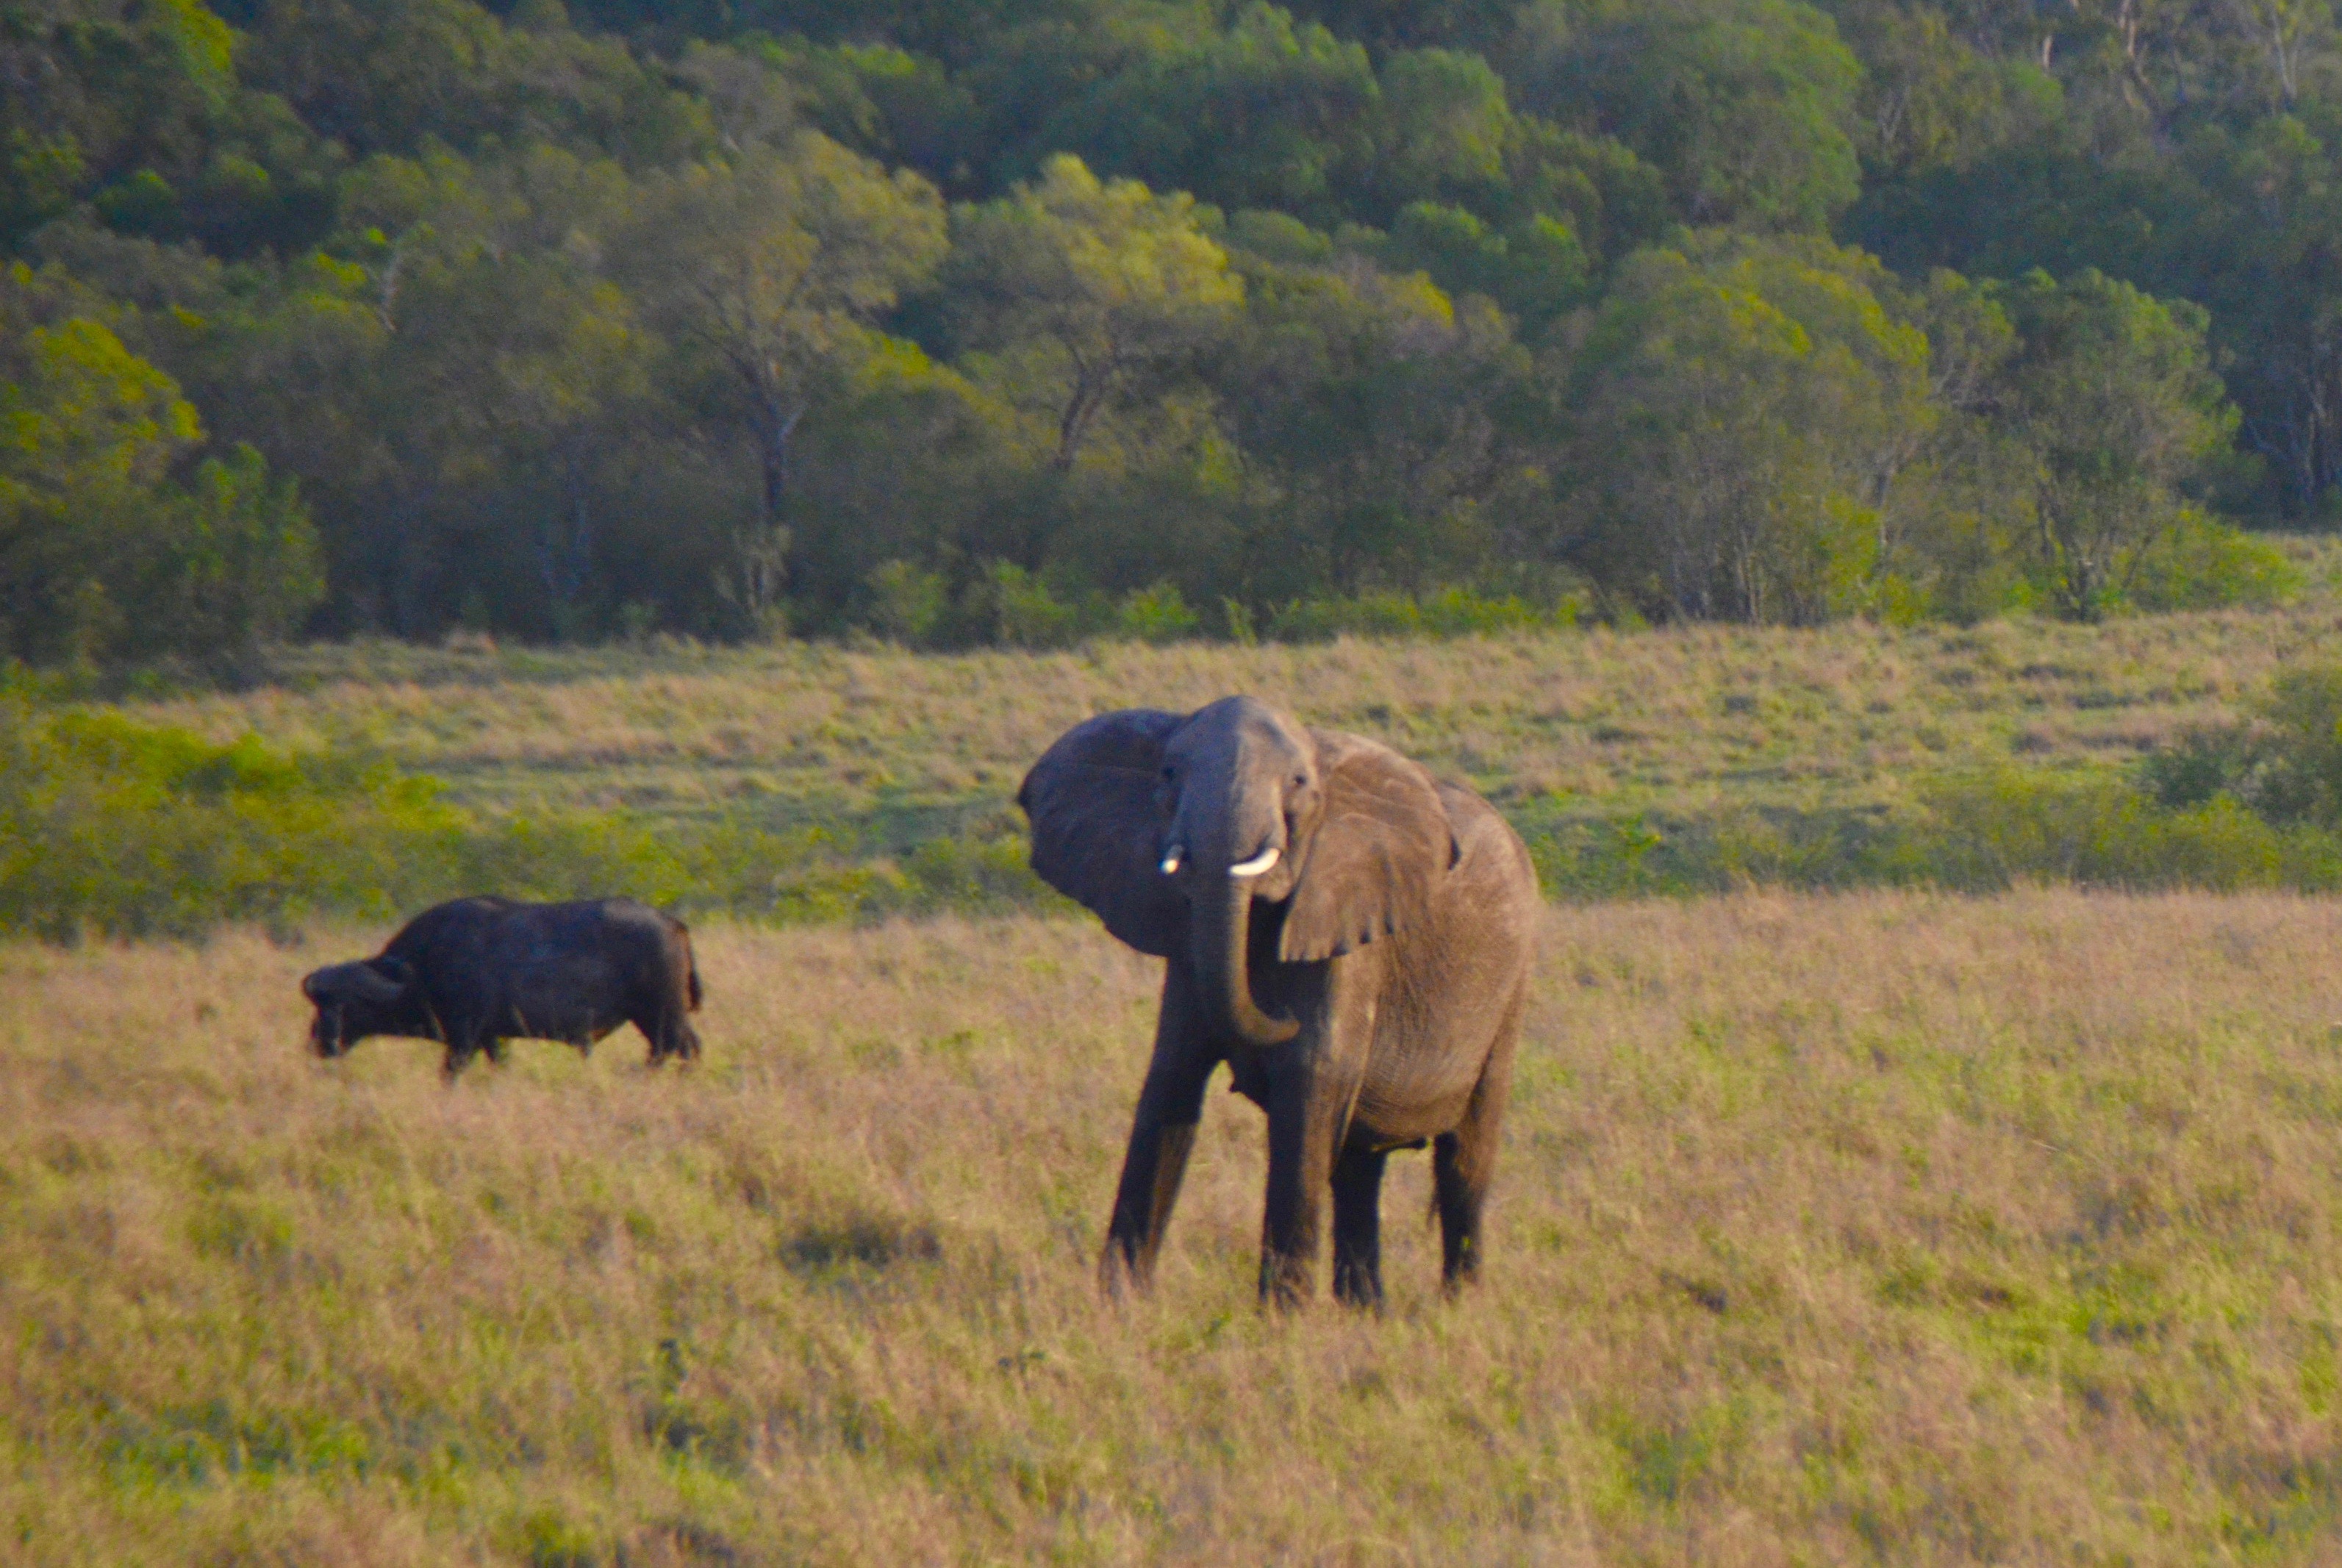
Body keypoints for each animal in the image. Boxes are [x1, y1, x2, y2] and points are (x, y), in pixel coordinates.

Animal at [301, 890, 702, 1078]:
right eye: (317, 1005)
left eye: (345, 1004)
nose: (320, 1043)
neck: (425, 964)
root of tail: (671, 923)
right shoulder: (493, 1038)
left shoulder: (464, 1037)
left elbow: (450, 1072)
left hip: (660, 1015)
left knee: (675, 1049)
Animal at [1021, 689, 1536, 1303]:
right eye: (1168, 773)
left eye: (1297, 782)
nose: (1280, 1012)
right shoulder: (1187, 948)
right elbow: (1171, 1081)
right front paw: (1122, 1303)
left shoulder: (1346, 926)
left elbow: (1309, 1082)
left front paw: (1281, 1314)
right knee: (1360, 1167)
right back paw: (1365, 1311)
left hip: (1510, 991)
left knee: (1464, 1161)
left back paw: (1458, 1306)